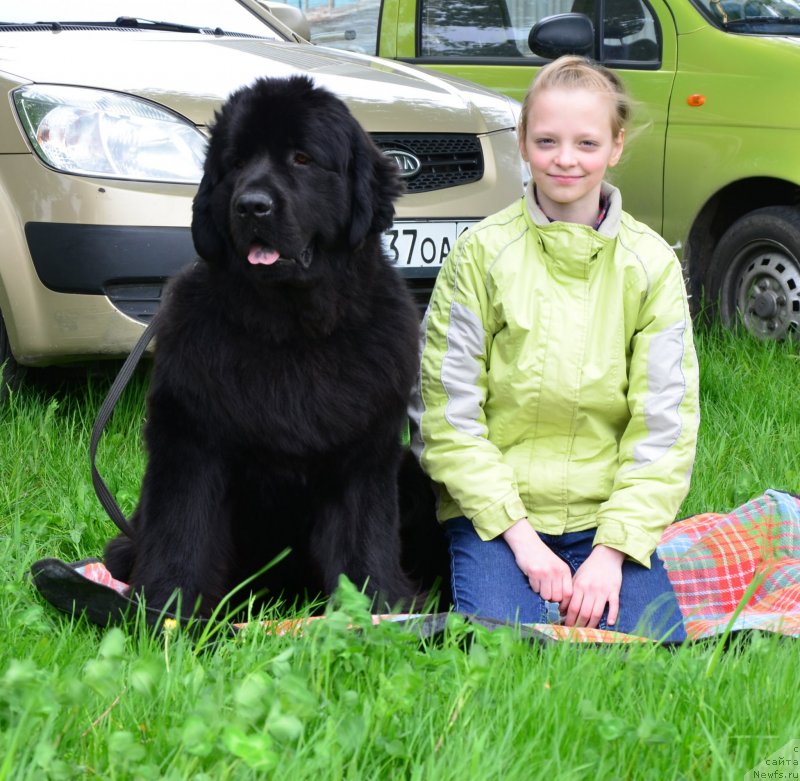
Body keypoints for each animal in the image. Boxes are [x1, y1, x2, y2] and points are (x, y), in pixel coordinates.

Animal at [104, 76, 444, 620]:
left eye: (302, 158)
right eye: (237, 163)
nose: (252, 205)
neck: (292, 329)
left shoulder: (364, 455)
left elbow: (363, 541)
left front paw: (378, 609)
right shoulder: (191, 441)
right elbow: (183, 530)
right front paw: (168, 609)